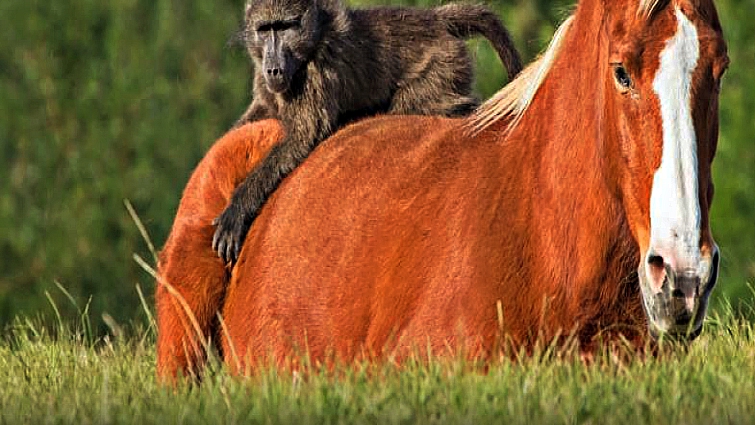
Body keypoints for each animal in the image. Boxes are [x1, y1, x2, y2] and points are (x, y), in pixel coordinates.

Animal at [211, 0, 522, 263]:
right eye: (265, 29)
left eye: (285, 26)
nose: (274, 69)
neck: (315, 35)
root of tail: (435, 19)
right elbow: (256, 117)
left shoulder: (319, 69)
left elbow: (303, 137)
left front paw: (237, 210)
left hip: (439, 66)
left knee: (428, 105)